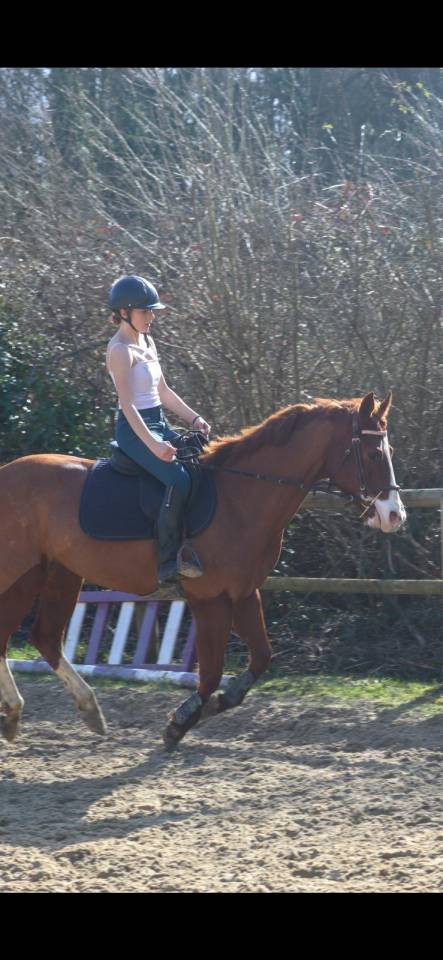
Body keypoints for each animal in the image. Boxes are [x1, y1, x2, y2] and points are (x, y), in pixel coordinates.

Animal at [0, 390, 406, 747]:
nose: (394, 516)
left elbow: (260, 658)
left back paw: (65, 711)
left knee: (43, 638)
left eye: (389, 451)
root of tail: (8, 472)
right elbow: (210, 674)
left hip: (54, 573)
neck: (241, 497)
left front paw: (211, 708)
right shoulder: (210, 600)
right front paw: (180, 723)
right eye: (372, 453)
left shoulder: (244, 594)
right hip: (20, 574)